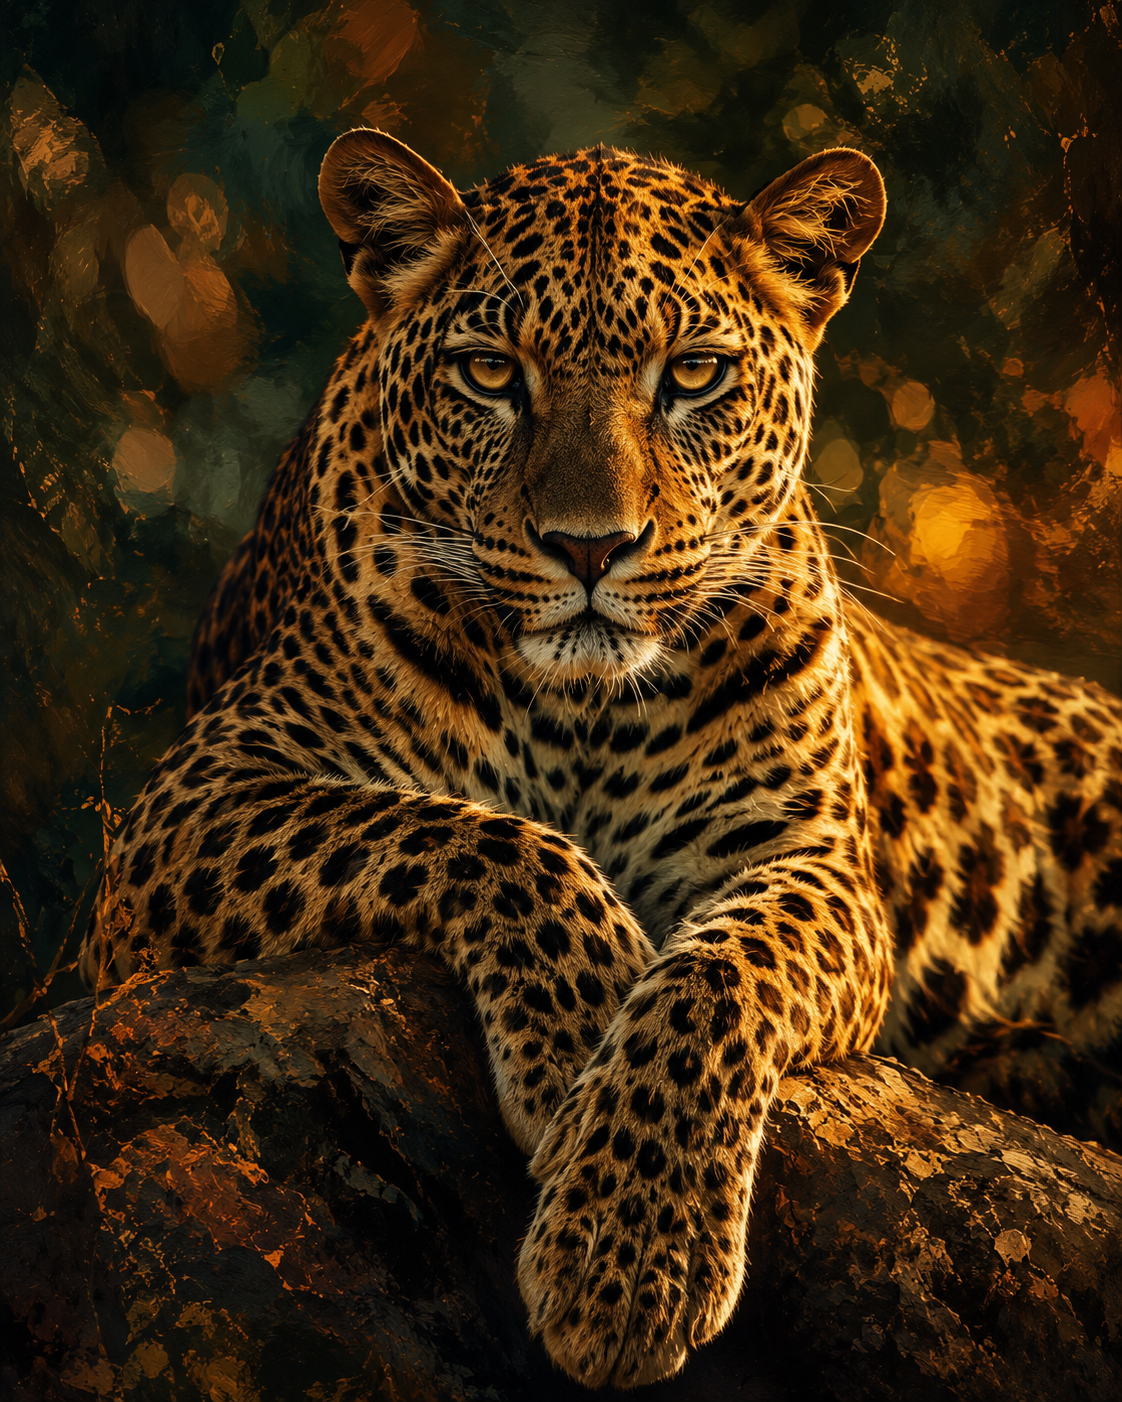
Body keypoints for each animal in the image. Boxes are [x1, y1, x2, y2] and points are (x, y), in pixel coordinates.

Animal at [79, 130, 1122, 1390]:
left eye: (695, 375)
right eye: (490, 374)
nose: (590, 547)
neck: (582, 711)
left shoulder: (816, 862)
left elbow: (719, 974)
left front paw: (627, 1263)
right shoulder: (188, 804)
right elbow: (478, 835)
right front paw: (580, 1031)